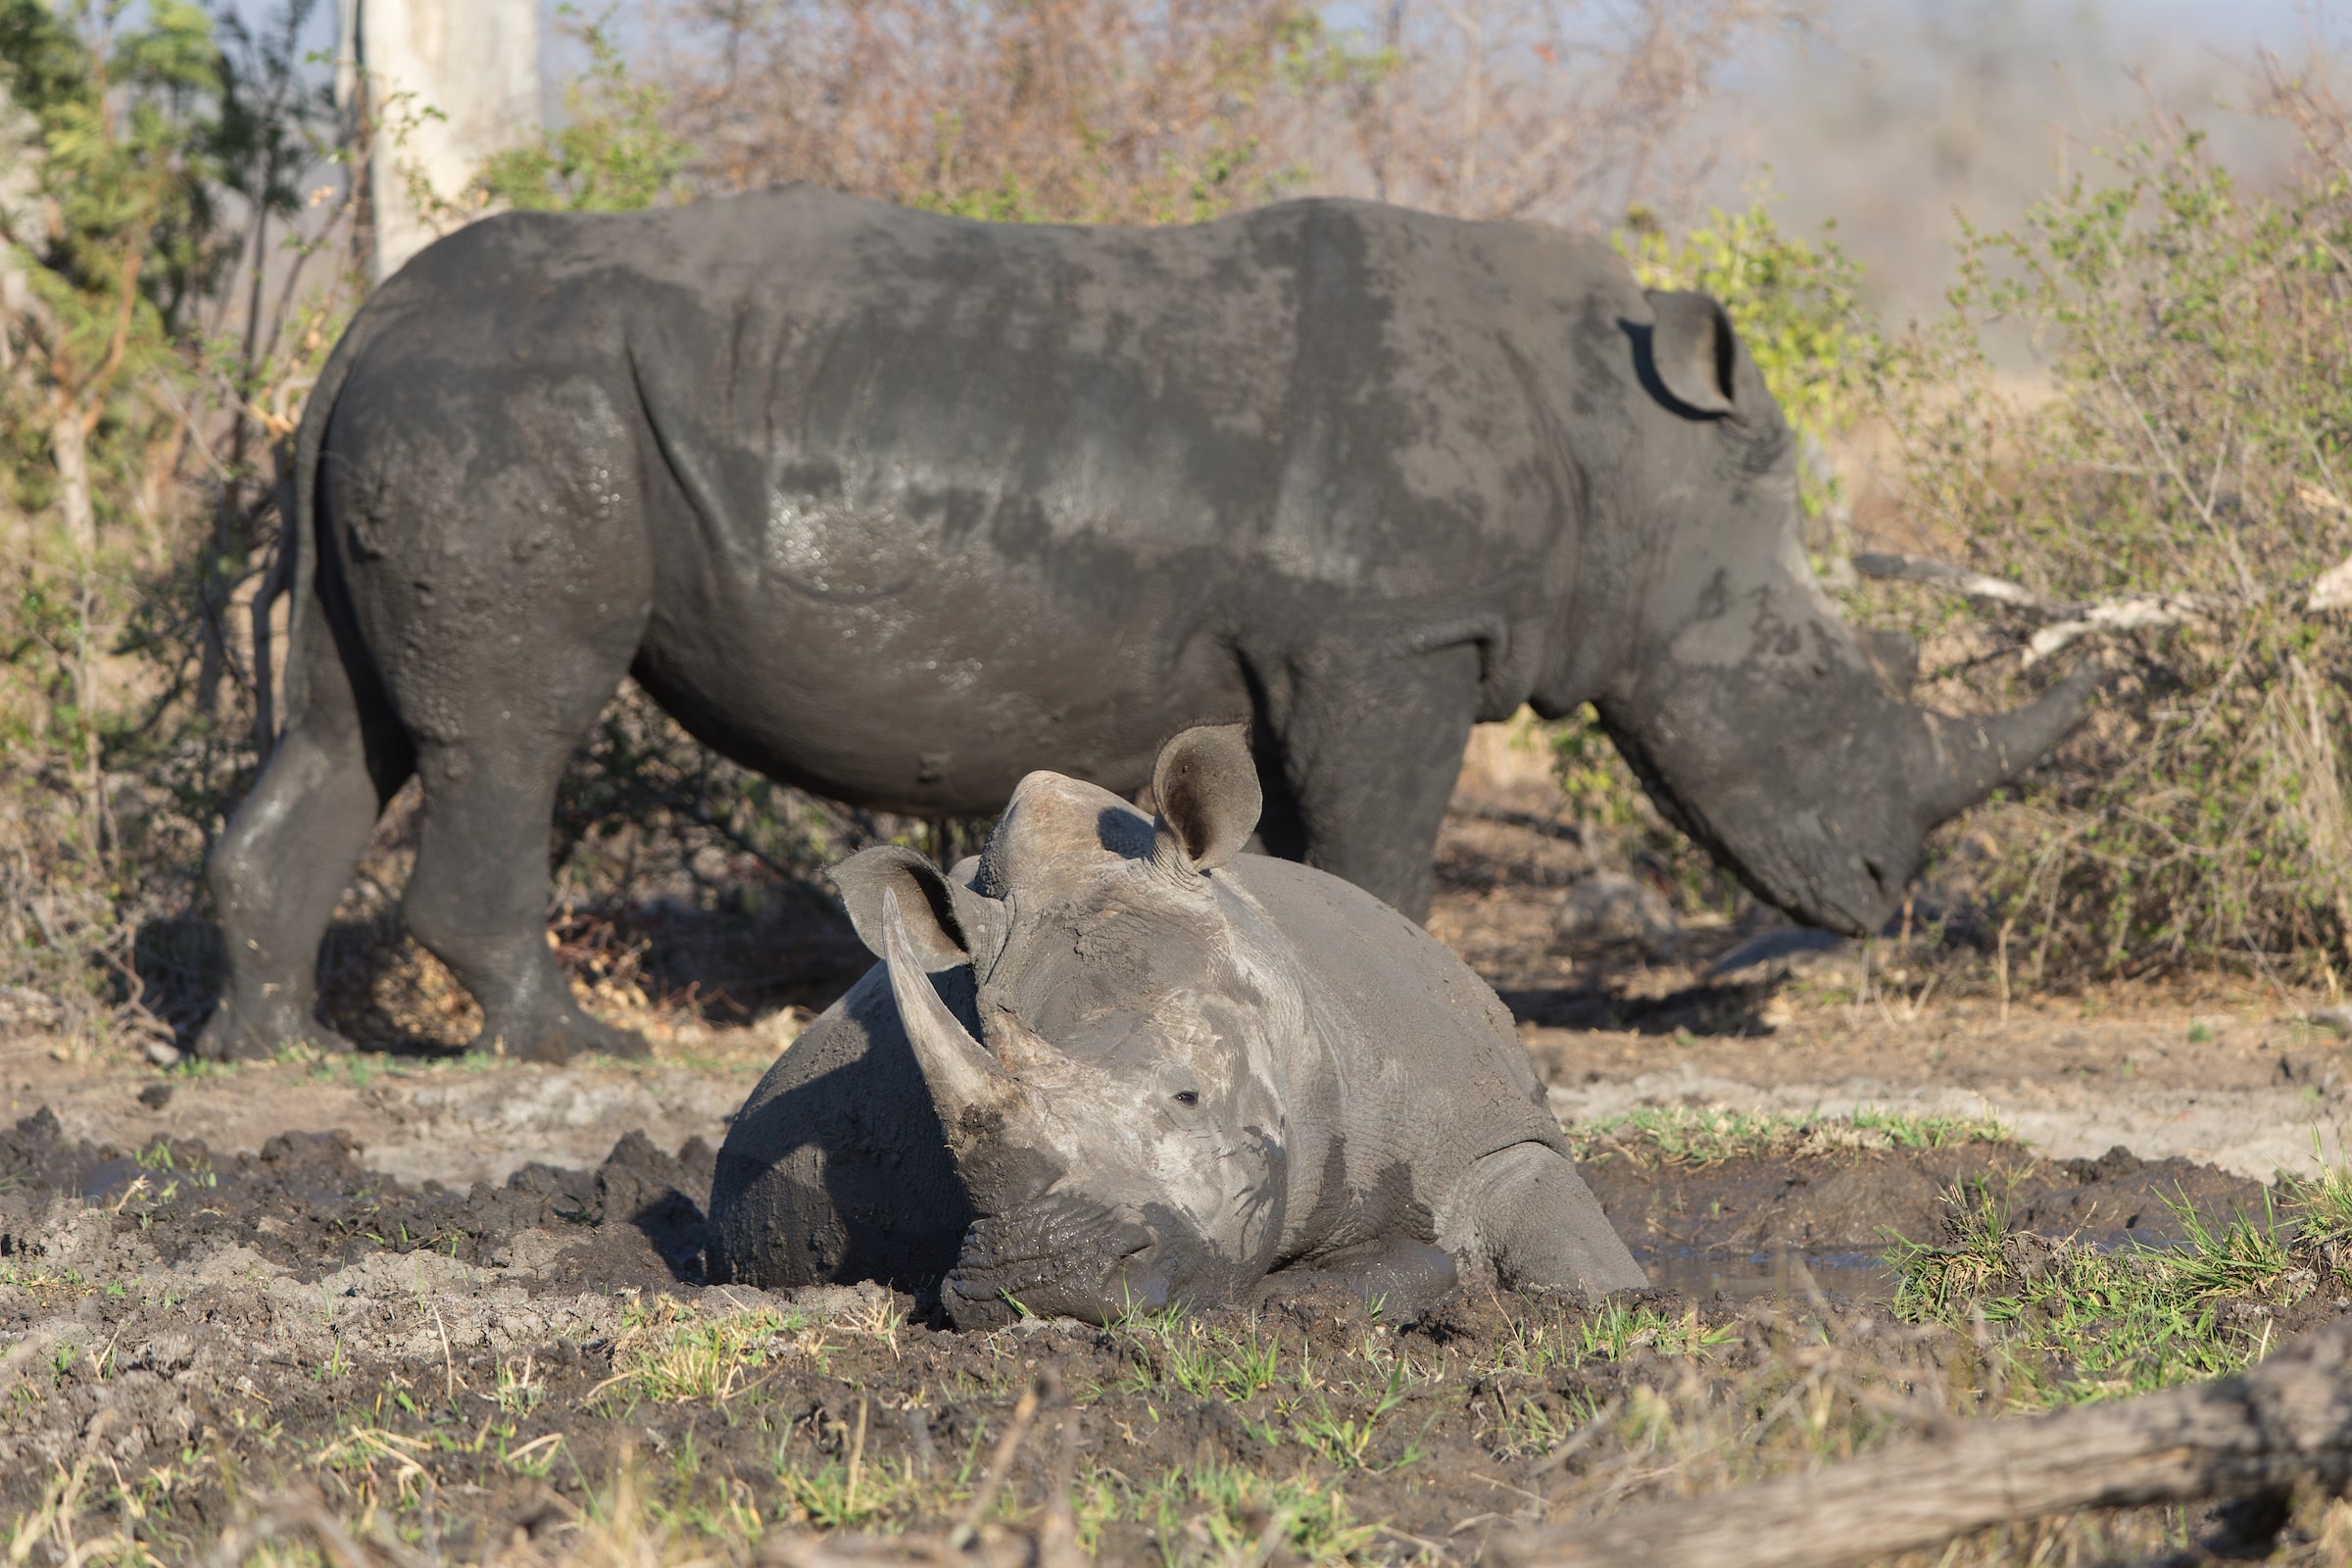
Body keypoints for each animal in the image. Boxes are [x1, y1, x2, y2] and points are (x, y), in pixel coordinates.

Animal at [202, 184, 2097, 1067]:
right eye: (1811, 693)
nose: (1886, 892)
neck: (1624, 455)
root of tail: (362, 327)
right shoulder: (1395, 640)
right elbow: (1384, 843)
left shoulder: (1346, 649)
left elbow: (1305, 848)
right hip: (520, 412)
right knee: (510, 728)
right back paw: (573, 1046)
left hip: (436, 408)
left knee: (345, 724)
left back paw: (269, 1045)